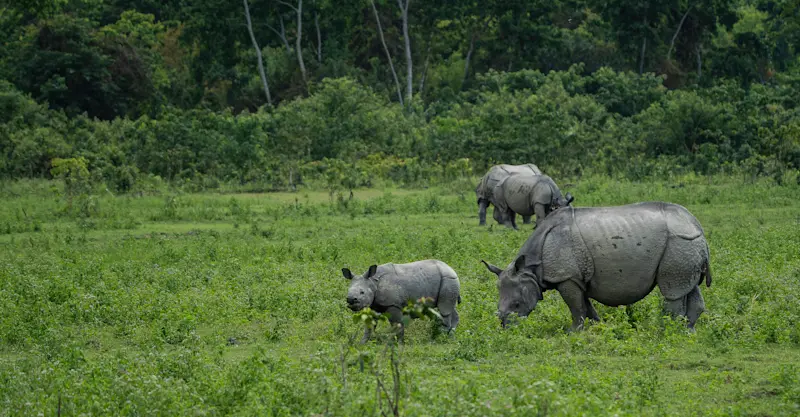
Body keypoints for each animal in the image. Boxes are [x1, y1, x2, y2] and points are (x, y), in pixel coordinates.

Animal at [481, 202, 712, 330]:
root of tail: (696, 223)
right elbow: (585, 305)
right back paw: (687, 331)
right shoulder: (577, 277)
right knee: (688, 286)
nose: (506, 328)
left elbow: (575, 307)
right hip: (686, 244)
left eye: (517, 304)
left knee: (672, 290)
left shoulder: (567, 276)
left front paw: (572, 332)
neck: (530, 269)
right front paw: (596, 326)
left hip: (679, 241)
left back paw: (665, 331)